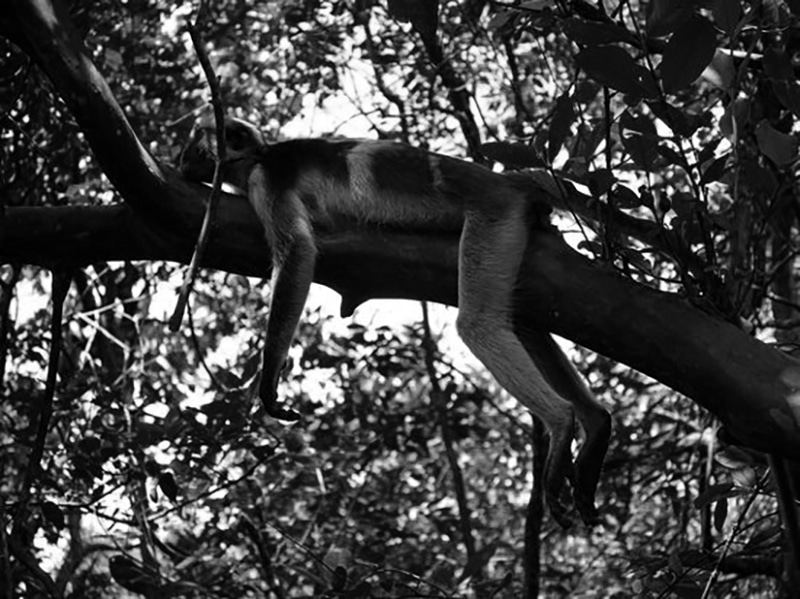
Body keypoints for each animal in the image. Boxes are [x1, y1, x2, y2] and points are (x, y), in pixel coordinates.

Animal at [178, 115, 608, 528]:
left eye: (193, 139)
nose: (180, 157)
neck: (261, 155)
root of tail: (505, 181)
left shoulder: (264, 181)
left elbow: (298, 251)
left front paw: (267, 383)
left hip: (494, 215)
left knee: (479, 324)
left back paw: (561, 421)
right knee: (520, 321)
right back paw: (596, 423)